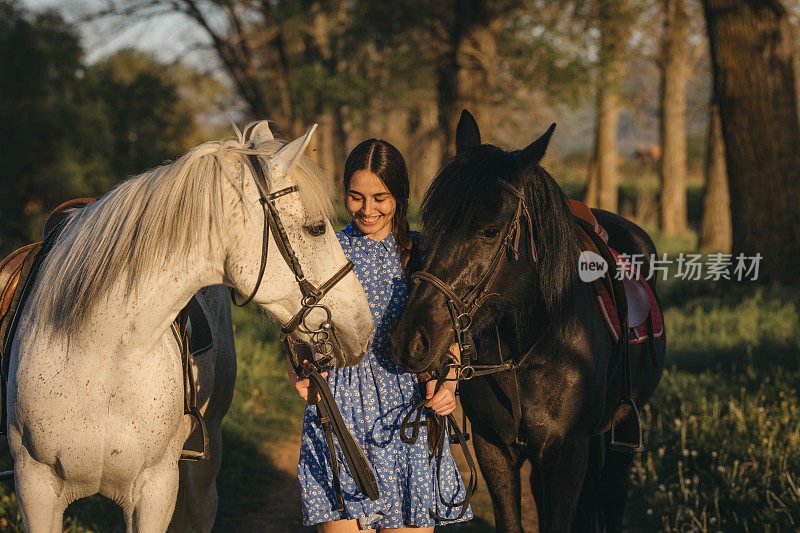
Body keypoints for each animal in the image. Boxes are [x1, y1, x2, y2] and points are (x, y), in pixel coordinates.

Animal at [390, 110, 664, 528]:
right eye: (432, 222)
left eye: (489, 231)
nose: (411, 339)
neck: (528, 348)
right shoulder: (493, 448)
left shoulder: (567, 454)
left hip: (624, 421)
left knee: (613, 496)